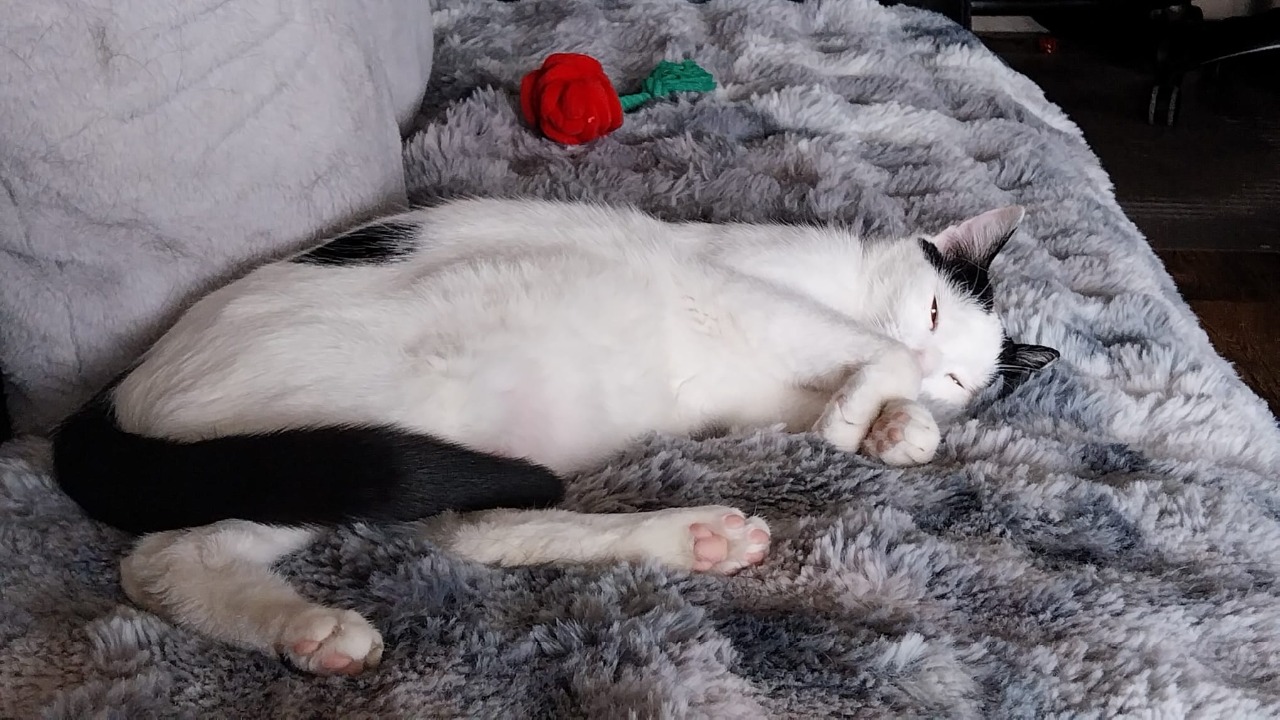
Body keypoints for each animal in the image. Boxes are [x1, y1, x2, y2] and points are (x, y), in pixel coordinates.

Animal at [52, 198, 1058, 676]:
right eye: (932, 309)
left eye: (964, 376)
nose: (934, 363)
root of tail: (110, 395)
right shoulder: (740, 292)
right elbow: (868, 353)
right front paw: (865, 412)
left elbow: (875, 400)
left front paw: (897, 426)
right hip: (383, 415)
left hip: (329, 462)